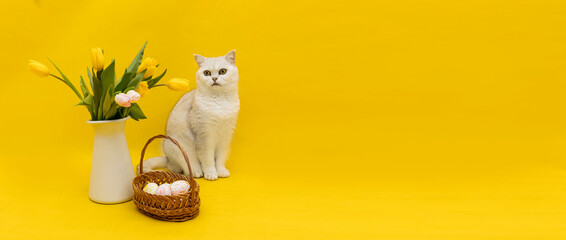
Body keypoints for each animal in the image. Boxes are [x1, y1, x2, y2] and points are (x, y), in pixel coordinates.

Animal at [141, 51, 242, 181]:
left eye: (222, 71)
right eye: (207, 73)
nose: (214, 78)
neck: (219, 102)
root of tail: (168, 160)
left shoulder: (225, 136)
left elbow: (220, 158)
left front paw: (221, 171)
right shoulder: (204, 136)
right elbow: (208, 159)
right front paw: (211, 173)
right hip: (178, 147)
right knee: (186, 167)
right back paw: (196, 172)